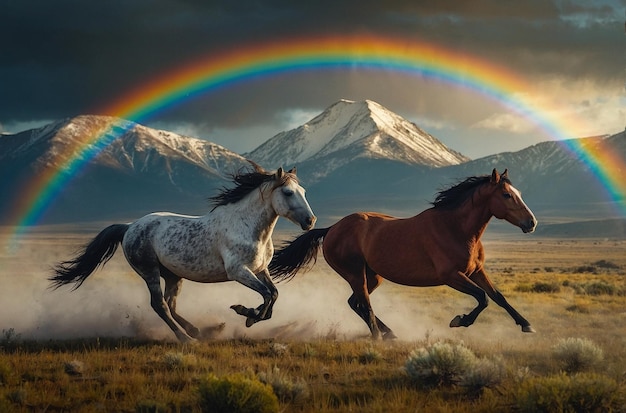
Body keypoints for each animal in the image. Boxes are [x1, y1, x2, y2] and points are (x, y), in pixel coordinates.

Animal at [52, 163, 316, 340]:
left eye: (304, 191)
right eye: (288, 192)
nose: (310, 221)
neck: (247, 227)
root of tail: (129, 226)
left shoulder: (260, 270)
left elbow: (273, 294)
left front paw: (251, 316)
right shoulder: (239, 272)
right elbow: (267, 295)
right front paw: (246, 313)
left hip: (172, 275)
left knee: (171, 304)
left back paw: (197, 331)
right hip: (149, 271)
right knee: (159, 305)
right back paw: (186, 340)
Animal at [270, 167, 536, 338]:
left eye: (520, 194)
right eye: (506, 195)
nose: (531, 223)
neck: (457, 229)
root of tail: (332, 228)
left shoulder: (477, 271)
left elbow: (498, 297)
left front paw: (526, 324)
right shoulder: (451, 276)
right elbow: (482, 297)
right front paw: (460, 320)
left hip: (373, 276)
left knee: (355, 302)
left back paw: (389, 332)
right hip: (355, 273)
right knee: (364, 304)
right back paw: (378, 336)